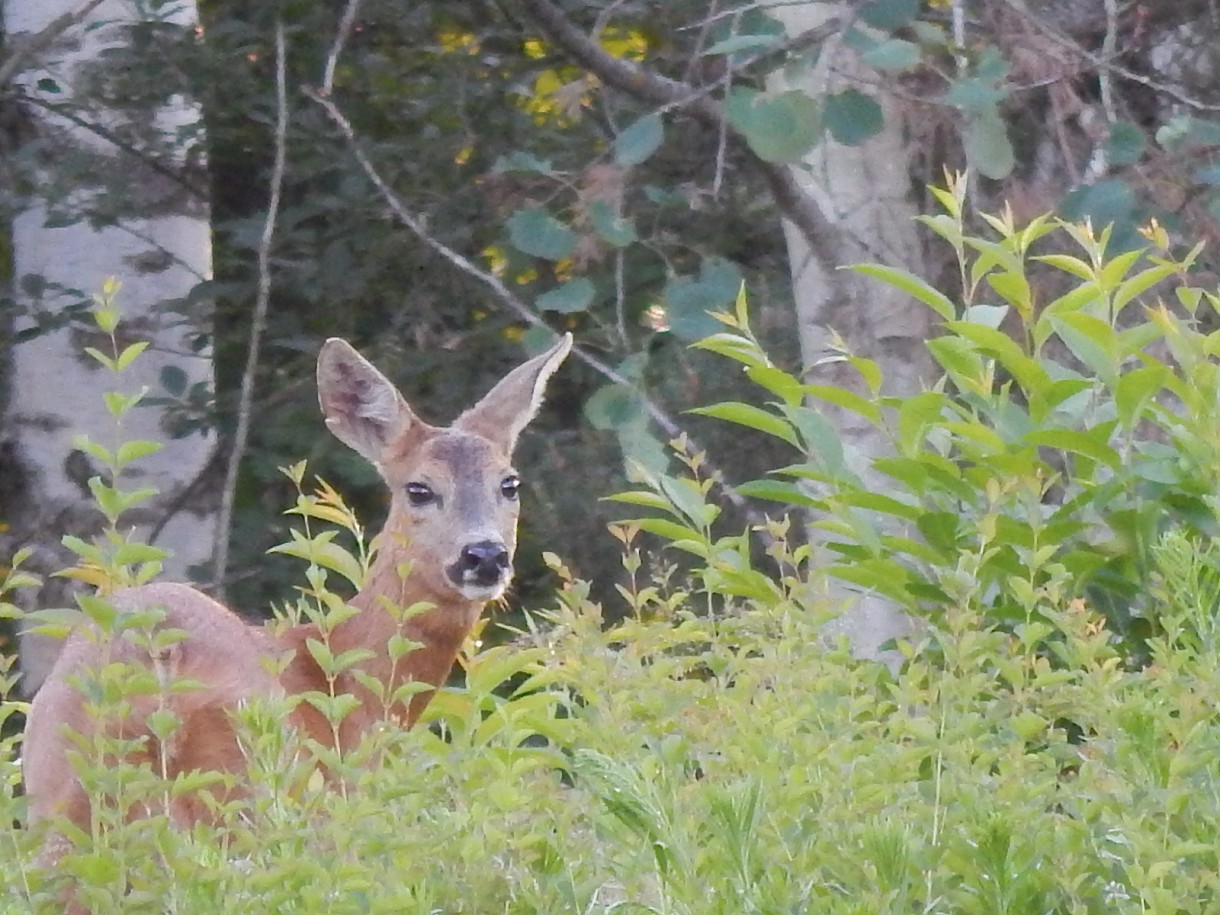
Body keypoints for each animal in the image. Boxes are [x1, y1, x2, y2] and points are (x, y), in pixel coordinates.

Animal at [20, 334, 570, 849]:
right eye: (418, 489)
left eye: (510, 484)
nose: (485, 556)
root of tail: (152, 653)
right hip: (256, 781)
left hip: (59, 789)